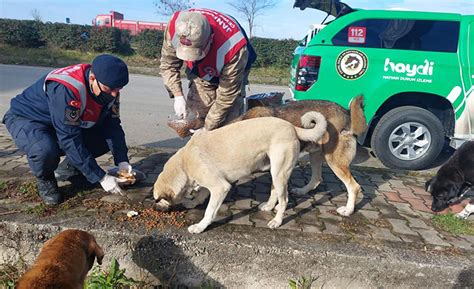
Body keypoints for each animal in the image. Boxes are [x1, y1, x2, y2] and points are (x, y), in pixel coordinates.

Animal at [154, 111, 328, 233]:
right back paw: (269, 206)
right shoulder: (210, 183)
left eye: (157, 199)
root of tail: (292, 126)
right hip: (275, 171)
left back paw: (277, 220)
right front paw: (194, 202)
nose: (155, 209)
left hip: (280, 173)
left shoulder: (220, 187)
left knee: (284, 199)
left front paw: (200, 226)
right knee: (274, 192)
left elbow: (209, 211)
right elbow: (202, 192)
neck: (184, 163)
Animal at [236, 95, 366, 215]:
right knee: (317, 178)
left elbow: (275, 190)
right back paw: (302, 191)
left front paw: (270, 206)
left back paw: (348, 210)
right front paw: (274, 206)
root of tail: (346, 112)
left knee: (354, 186)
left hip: (333, 160)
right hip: (315, 155)